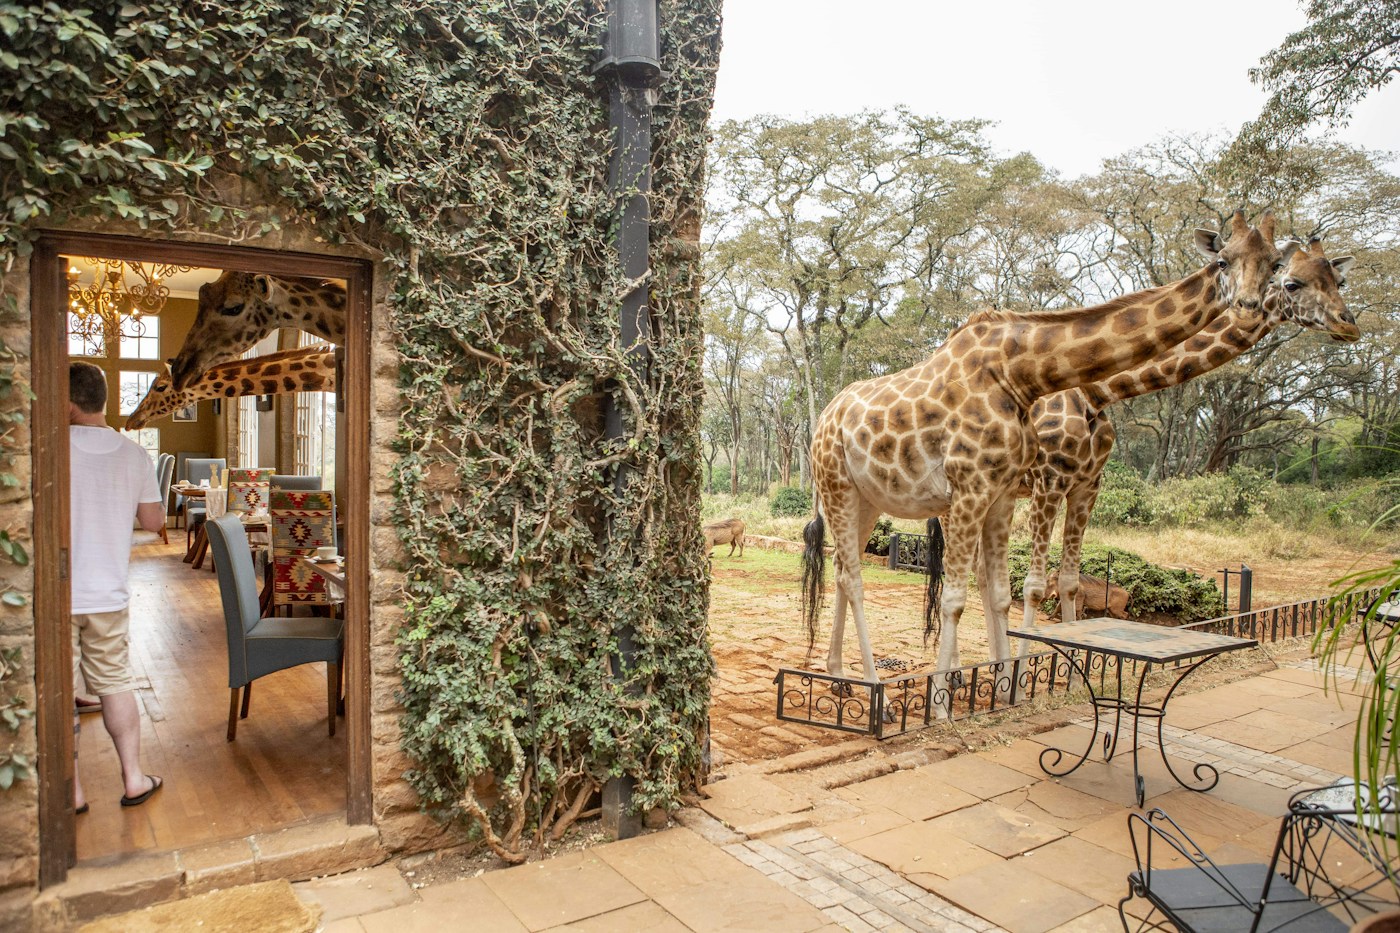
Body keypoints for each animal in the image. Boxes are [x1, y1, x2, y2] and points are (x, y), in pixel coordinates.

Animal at [800, 211, 1284, 686]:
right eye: (1223, 260)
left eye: (1275, 265)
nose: (1249, 308)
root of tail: (823, 419)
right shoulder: (1026, 484)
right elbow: (1004, 590)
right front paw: (974, 687)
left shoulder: (1050, 488)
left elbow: (1024, 587)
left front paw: (1017, 680)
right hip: (842, 488)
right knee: (855, 576)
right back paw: (872, 681)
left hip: (869, 498)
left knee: (845, 569)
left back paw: (840, 670)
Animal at [1019, 237, 1357, 629]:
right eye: (1292, 283)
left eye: (1339, 281)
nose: (1347, 324)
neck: (1095, 393)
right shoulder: (1049, 482)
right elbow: (1034, 587)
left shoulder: (1087, 486)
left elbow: (1070, 583)